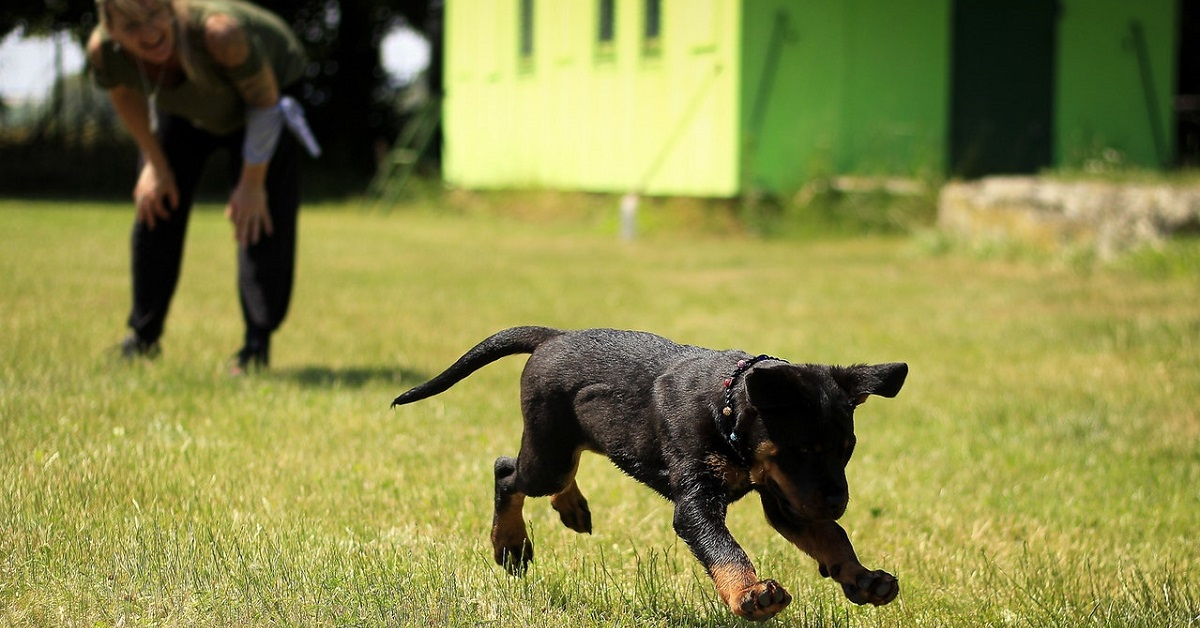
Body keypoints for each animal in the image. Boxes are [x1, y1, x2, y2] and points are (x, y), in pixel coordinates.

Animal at [393, 326, 907, 619]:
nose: (839, 501)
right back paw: (511, 545)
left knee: (557, 472)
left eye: (847, 450)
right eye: (801, 449)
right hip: (548, 453)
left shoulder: (788, 499)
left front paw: (863, 578)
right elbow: (724, 548)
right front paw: (750, 594)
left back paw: (572, 508)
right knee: (507, 472)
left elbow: (832, 536)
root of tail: (553, 336)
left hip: (572, 442)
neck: (725, 407)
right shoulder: (699, 501)